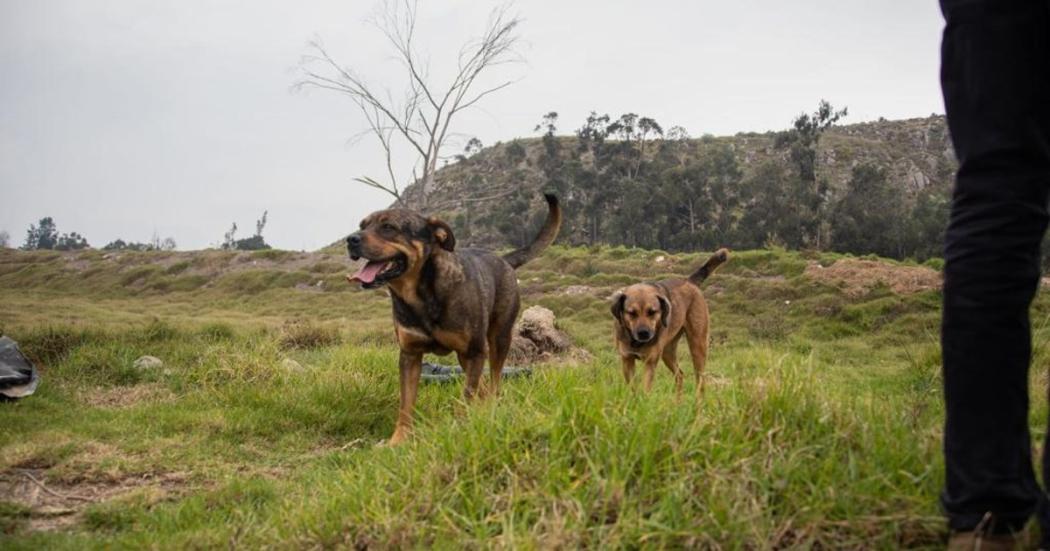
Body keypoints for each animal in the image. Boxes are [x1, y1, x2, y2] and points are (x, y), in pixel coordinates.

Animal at [346, 193, 562, 442]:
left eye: (388, 227)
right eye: (362, 225)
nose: (350, 239)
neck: (421, 294)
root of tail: (503, 260)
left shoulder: (476, 352)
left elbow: (467, 394)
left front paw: (461, 428)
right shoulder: (410, 355)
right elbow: (406, 404)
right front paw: (399, 440)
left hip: (498, 340)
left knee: (493, 382)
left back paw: (489, 409)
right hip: (464, 356)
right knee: (480, 386)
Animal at [613, 248, 726, 398]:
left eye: (652, 312)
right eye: (632, 313)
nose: (644, 333)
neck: (636, 342)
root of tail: (689, 281)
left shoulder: (650, 362)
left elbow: (646, 389)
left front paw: (644, 401)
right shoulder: (627, 360)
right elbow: (632, 389)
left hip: (698, 344)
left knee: (700, 379)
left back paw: (698, 401)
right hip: (668, 351)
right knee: (680, 375)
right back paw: (677, 402)